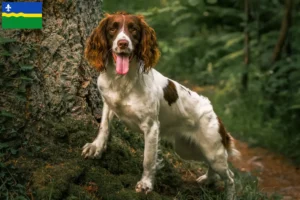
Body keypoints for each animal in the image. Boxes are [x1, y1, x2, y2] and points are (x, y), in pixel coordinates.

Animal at [81, 11, 239, 199]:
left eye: (133, 30)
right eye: (113, 28)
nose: (122, 43)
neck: (122, 80)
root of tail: (213, 112)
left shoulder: (151, 127)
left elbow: (148, 160)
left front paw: (146, 185)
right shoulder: (108, 103)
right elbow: (103, 127)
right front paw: (96, 148)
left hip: (212, 150)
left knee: (230, 177)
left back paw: (228, 194)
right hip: (187, 149)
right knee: (213, 169)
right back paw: (207, 179)